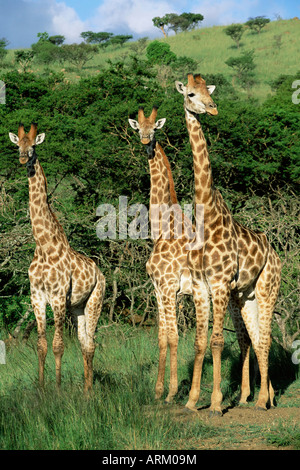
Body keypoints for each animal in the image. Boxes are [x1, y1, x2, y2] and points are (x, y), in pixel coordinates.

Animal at [9, 123, 105, 392]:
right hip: (78, 308)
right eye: (18, 145)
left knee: (91, 343)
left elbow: (58, 345)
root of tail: (101, 273)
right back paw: (86, 389)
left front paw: (59, 389)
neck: (44, 245)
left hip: (95, 300)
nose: (23, 158)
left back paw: (89, 391)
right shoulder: (37, 297)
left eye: (33, 146)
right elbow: (41, 345)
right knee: (84, 343)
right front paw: (42, 389)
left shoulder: (59, 297)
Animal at [176, 74, 282, 414]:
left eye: (209, 91)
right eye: (191, 94)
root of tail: (276, 254)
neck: (205, 216)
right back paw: (266, 396)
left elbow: (217, 341)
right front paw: (191, 400)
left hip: (267, 288)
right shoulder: (200, 287)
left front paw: (215, 403)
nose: (212, 108)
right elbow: (200, 342)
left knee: (265, 338)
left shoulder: (220, 284)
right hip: (246, 296)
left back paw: (261, 401)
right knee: (257, 338)